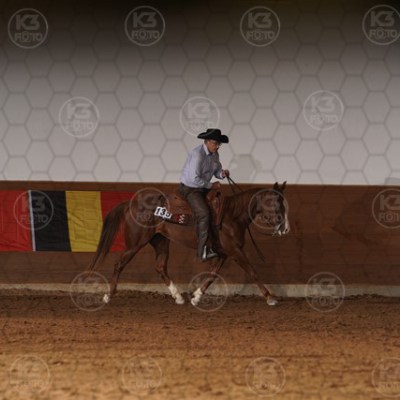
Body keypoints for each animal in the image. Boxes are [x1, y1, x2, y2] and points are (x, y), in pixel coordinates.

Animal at [88, 181, 290, 306]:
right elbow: (252, 271)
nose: (285, 228)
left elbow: (212, 275)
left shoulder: (223, 253)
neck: (231, 216)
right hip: (135, 243)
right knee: (119, 264)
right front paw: (270, 298)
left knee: (160, 267)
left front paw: (196, 297)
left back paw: (178, 297)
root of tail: (130, 204)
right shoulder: (234, 251)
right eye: (276, 203)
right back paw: (108, 295)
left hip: (161, 241)